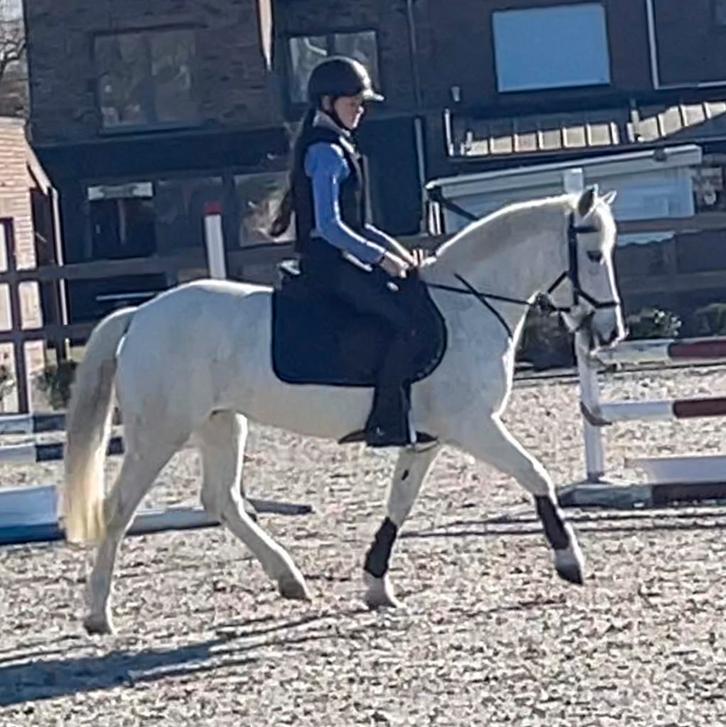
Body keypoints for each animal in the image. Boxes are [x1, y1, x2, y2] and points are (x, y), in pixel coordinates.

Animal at [63, 186, 624, 634]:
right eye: (594, 254)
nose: (610, 332)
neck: (466, 305)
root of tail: (142, 314)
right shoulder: (473, 426)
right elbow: (535, 474)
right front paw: (569, 561)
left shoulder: (428, 438)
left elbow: (400, 504)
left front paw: (376, 585)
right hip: (161, 431)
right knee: (119, 507)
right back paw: (97, 615)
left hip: (221, 424)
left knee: (221, 500)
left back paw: (290, 579)